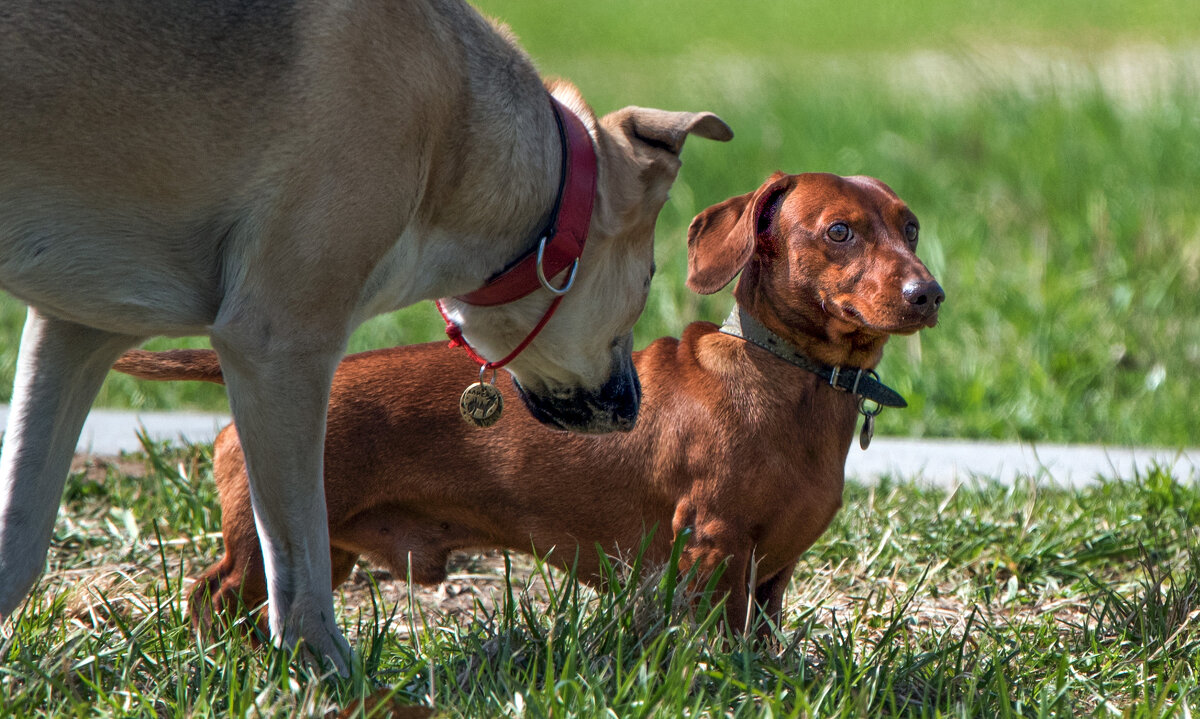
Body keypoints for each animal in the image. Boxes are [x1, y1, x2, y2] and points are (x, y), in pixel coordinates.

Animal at [0, 0, 729, 667]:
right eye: (648, 279)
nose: (632, 405)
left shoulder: (77, 327)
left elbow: (20, 542)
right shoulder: (278, 341)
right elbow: (300, 568)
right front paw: (331, 674)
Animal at [112, 172, 940, 633]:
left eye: (911, 225)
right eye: (840, 231)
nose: (927, 293)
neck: (788, 381)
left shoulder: (769, 579)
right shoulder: (713, 547)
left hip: (325, 549)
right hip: (261, 542)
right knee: (210, 597)